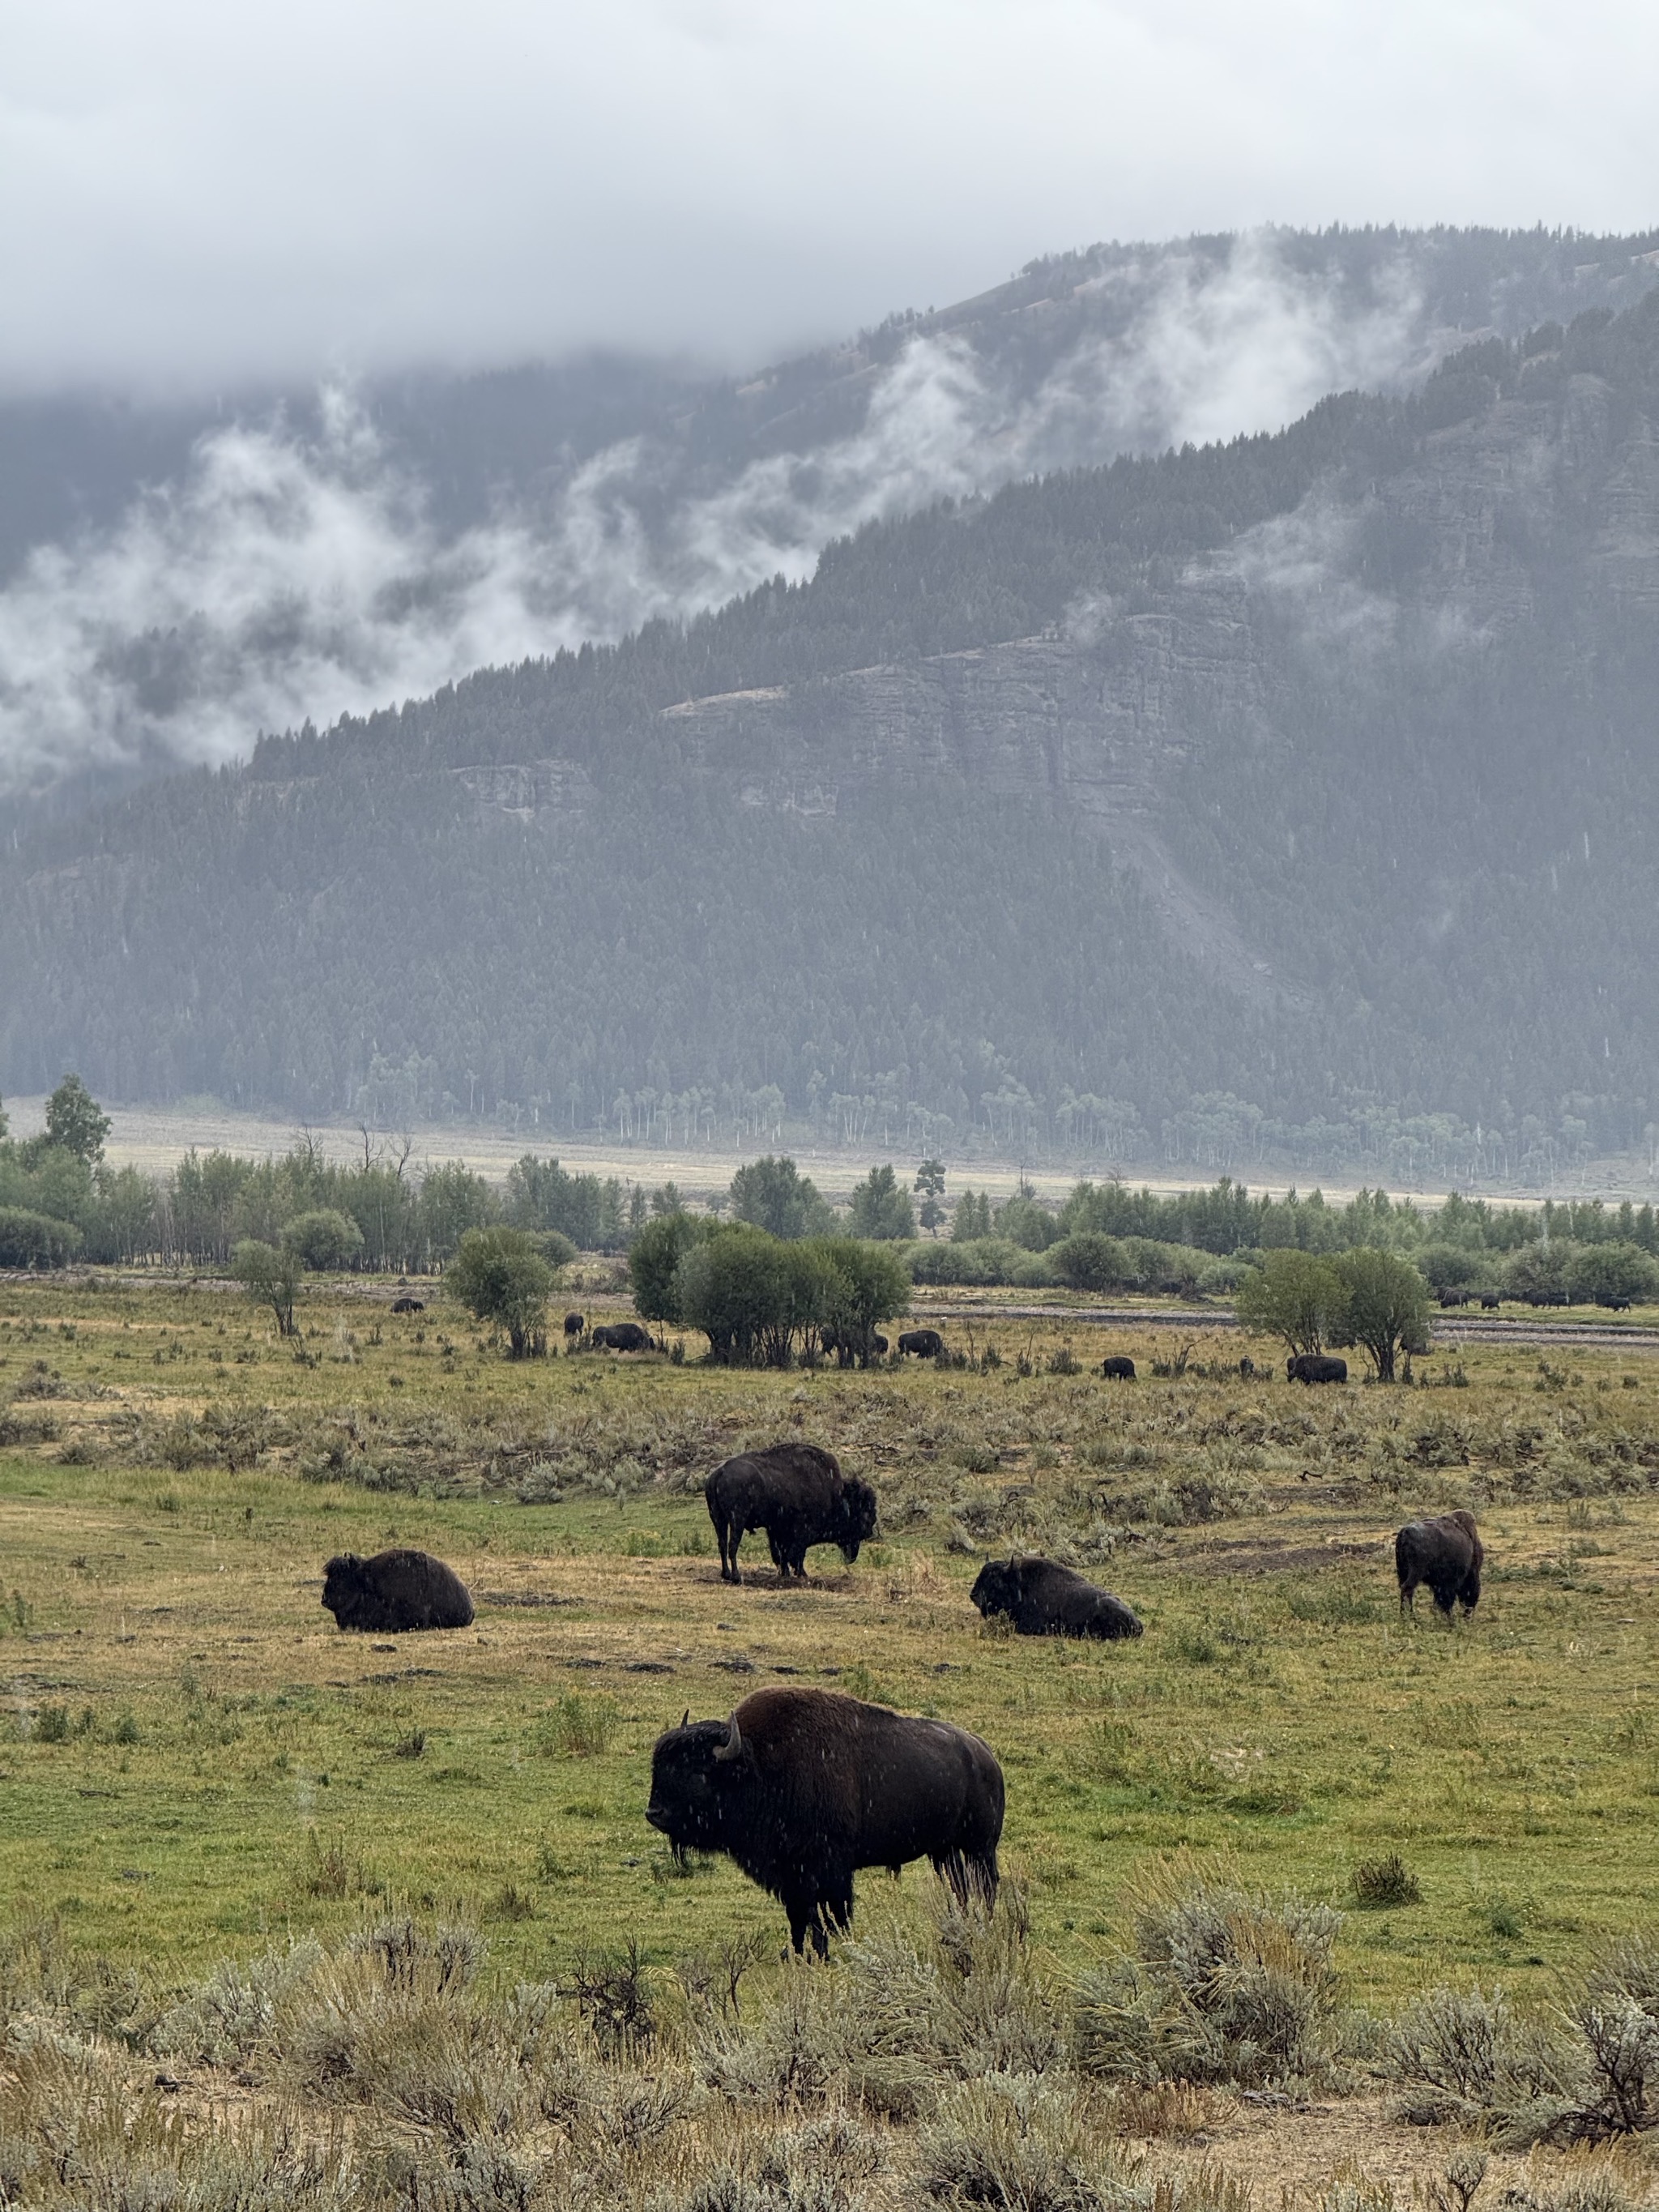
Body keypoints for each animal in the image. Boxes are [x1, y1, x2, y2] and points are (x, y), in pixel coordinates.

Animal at [646, 1686, 1003, 1955]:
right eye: (660, 1766)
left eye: (698, 1772)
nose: (654, 1814)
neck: (759, 1763)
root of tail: (984, 1754)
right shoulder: (789, 1872)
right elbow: (800, 1915)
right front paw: (800, 1952)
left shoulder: (829, 1867)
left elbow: (832, 1912)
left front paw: (831, 1948)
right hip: (945, 1851)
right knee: (960, 1886)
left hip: (980, 1848)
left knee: (986, 1886)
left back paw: (984, 1926)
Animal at [705, 1442, 878, 1584]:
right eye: (863, 1514)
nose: (869, 1530)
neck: (835, 1493)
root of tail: (719, 1473)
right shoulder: (800, 1531)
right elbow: (796, 1553)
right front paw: (801, 1574)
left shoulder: (776, 1529)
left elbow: (781, 1553)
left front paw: (785, 1573)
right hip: (737, 1520)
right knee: (732, 1545)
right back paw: (736, 1577)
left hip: (718, 1518)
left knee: (722, 1544)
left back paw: (726, 1574)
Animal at [1395, 1510, 1483, 1617]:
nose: (1467, 1613)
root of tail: (1405, 1533)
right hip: (1415, 1573)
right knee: (1407, 1588)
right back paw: (1411, 1616)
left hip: (1402, 1572)